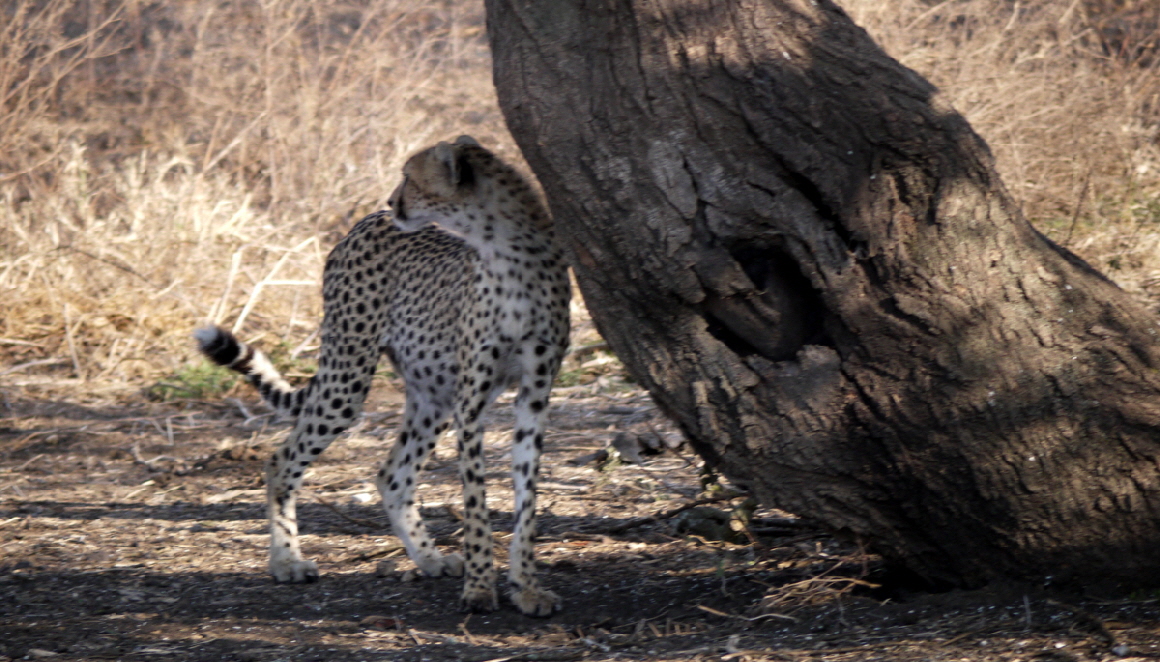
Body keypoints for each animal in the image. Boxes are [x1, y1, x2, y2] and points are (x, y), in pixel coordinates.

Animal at [197, 136, 573, 616]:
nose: (392, 201)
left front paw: (525, 586)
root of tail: (360, 223)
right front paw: (479, 588)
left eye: (410, 177)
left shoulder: (533, 397)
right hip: (349, 377)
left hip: (433, 393)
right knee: (283, 460)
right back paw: (287, 562)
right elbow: (476, 503)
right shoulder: (472, 405)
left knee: (393, 474)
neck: (509, 252)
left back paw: (429, 558)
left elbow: (527, 501)